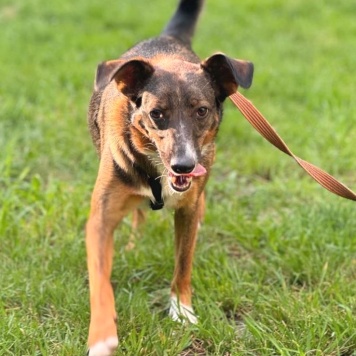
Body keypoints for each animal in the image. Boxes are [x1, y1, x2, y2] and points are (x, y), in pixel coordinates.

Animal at [86, 1, 253, 354]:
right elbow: (100, 280)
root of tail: (169, 38)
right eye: (156, 114)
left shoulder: (187, 210)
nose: (184, 166)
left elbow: (183, 263)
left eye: (201, 111)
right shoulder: (100, 218)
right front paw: (102, 335)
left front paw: (181, 309)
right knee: (137, 215)